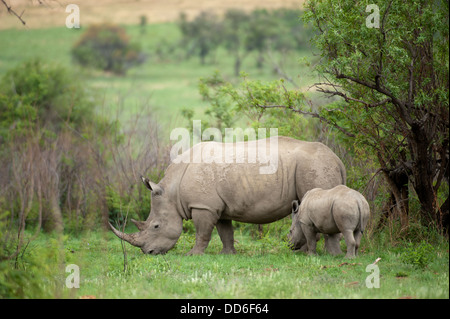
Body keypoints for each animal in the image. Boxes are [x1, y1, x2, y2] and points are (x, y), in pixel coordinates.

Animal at [108, 136, 344, 256]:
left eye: (156, 226)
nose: (148, 252)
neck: (172, 191)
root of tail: (337, 159)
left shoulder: (202, 206)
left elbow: (202, 233)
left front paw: (193, 255)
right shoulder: (217, 206)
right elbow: (225, 232)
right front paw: (228, 254)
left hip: (314, 166)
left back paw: (324, 255)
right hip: (318, 166)